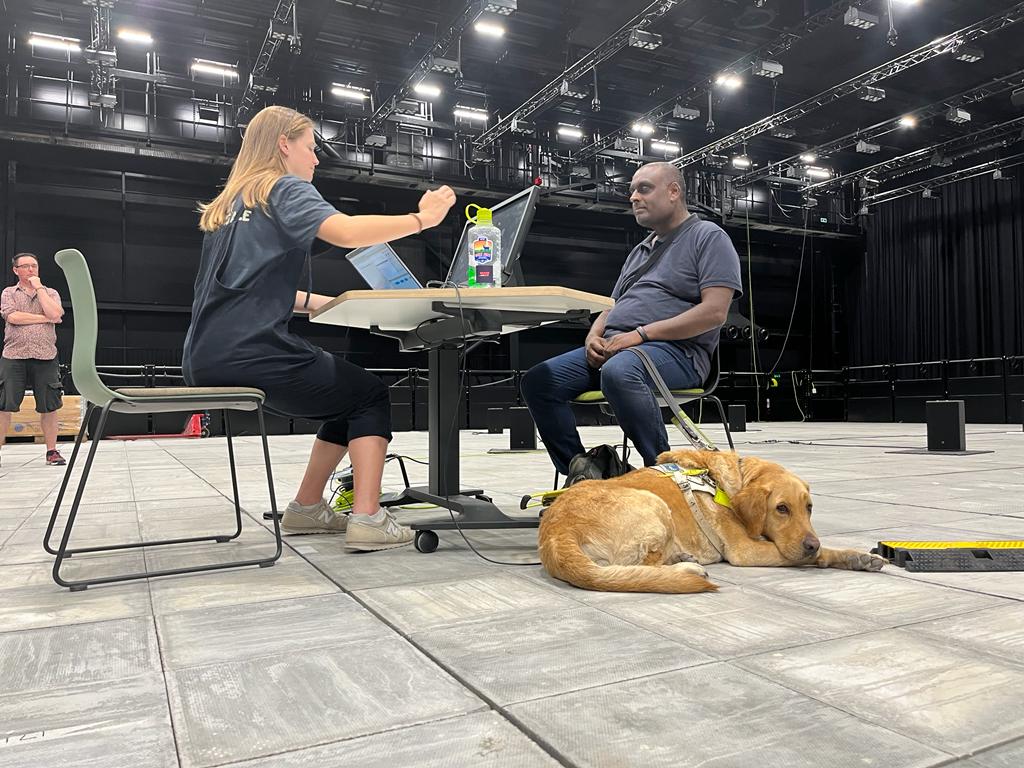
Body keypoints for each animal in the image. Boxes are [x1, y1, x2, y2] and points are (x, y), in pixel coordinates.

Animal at [536, 448, 888, 593]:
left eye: (809, 507)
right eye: (781, 508)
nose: (811, 544)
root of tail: (553, 533)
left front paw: (857, 557)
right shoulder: (746, 550)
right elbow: (800, 555)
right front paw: (837, 555)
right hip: (653, 504)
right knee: (641, 567)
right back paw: (687, 568)